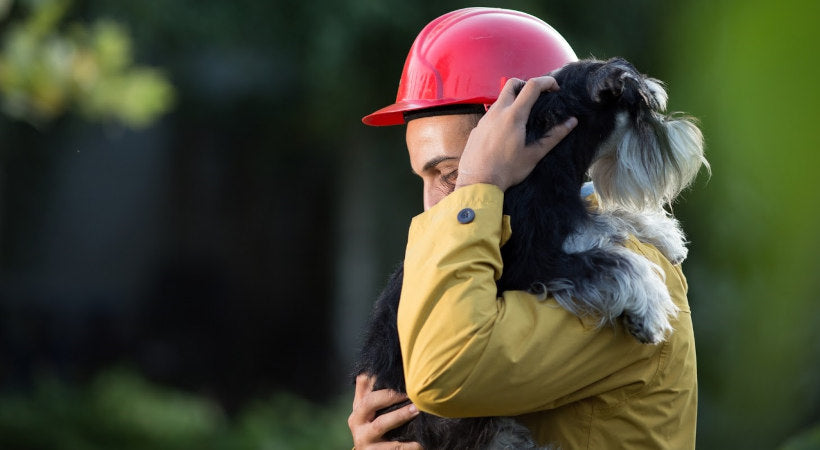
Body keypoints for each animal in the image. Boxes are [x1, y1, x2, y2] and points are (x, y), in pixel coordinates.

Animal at [356, 58, 708, 448]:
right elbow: (616, 262)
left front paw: (665, 235)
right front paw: (649, 308)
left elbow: (606, 217)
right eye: (644, 108)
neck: (545, 159)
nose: (689, 136)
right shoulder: (534, 260)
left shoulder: (569, 216)